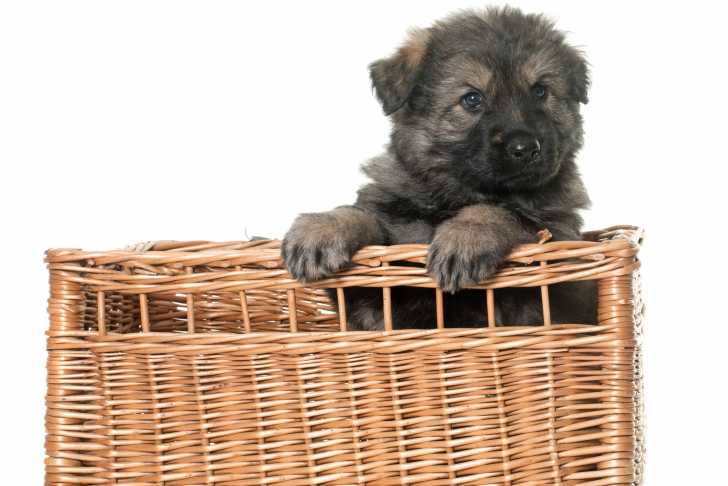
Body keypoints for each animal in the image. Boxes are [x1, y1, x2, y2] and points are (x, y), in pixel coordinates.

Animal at [282, 7, 596, 330]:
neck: (456, 193)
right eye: (472, 98)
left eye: (540, 91)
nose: (525, 148)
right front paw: (321, 228)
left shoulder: (556, 245)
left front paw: (465, 237)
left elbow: (503, 213)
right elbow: (362, 216)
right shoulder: (374, 288)